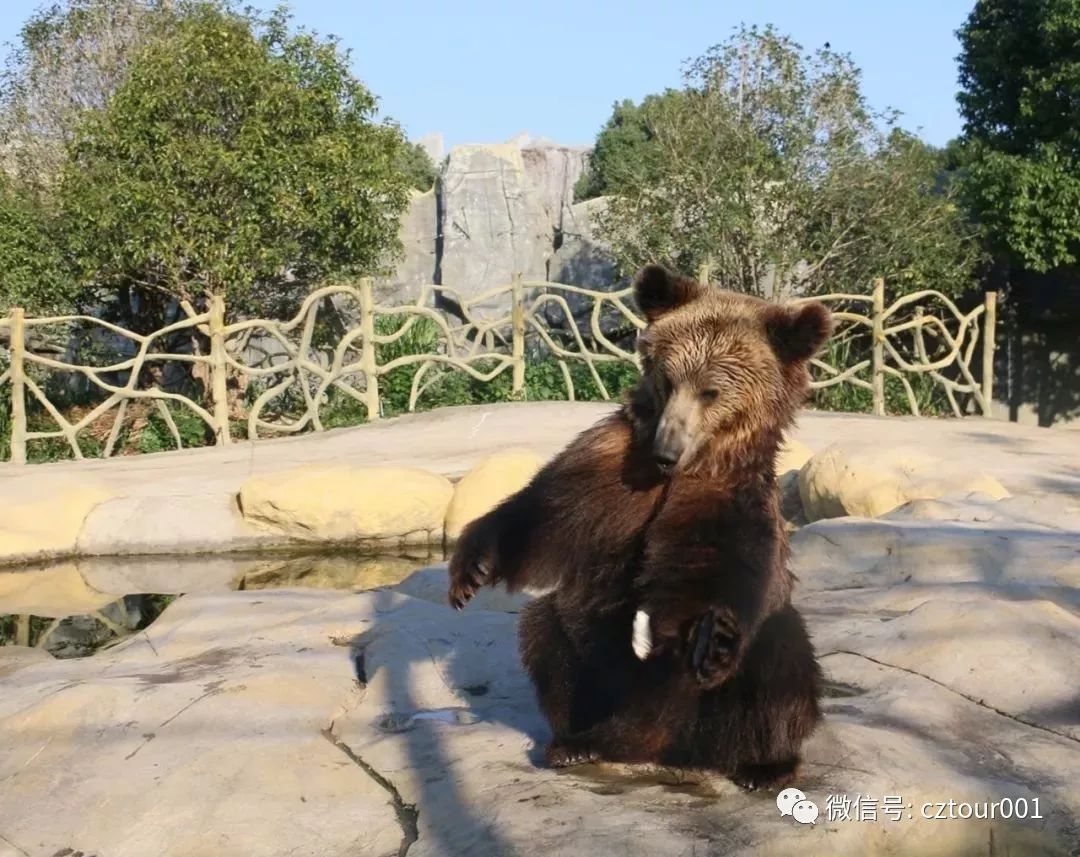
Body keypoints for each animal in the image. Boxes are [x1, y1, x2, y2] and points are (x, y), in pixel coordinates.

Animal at [447, 262, 833, 790]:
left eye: (712, 390)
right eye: (669, 379)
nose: (666, 450)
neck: (683, 470)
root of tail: (666, 743)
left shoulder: (727, 500)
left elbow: (719, 570)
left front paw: (713, 640)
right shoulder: (612, 469)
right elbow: (545, 511)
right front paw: (471, 568)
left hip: (740, 687)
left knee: (784, 663)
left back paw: (766, 764)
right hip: (600, 659)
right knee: (551, 635)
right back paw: (577, 742)